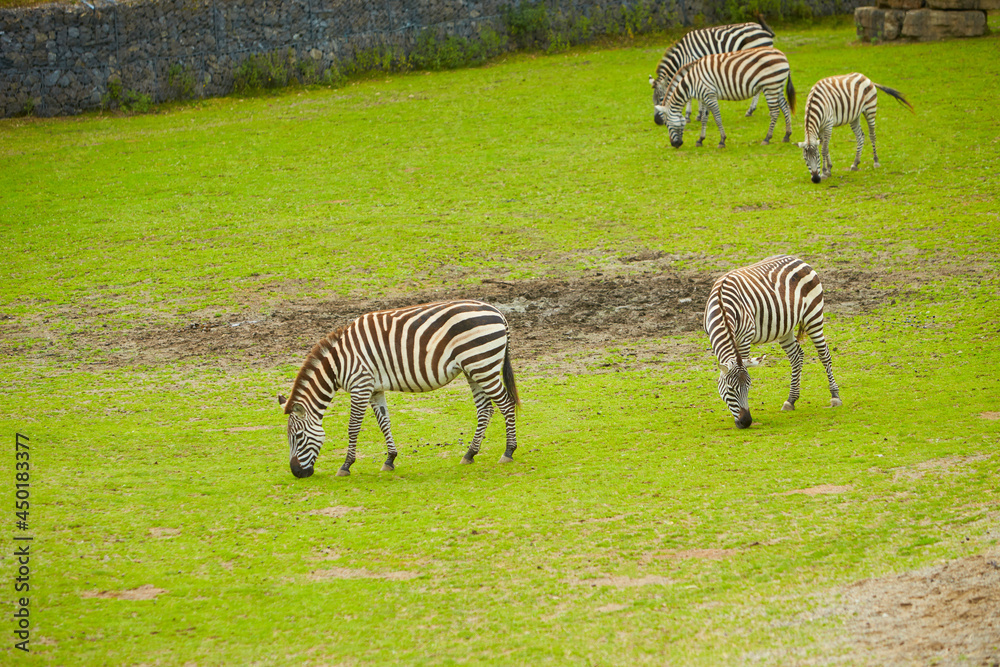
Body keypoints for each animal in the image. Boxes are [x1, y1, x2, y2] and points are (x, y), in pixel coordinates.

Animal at [277, 300, 520, 478]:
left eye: (298, 436)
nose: (297, 473)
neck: (339, 363)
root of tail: (498, 312)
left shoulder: (360, 386)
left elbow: (353, 427)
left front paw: (345, 465)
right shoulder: (374, 389)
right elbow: (384, 422)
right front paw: (390, 459)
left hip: (483, 366)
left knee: (507, 404)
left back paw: (508, 451)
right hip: (474, 370)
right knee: (485, 409)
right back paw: (470, 453)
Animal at [654, 47, 795, 149]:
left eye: (667, 124)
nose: (675, 145)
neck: (691, 81)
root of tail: (782, 55)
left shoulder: (710, 96)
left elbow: (717, 118)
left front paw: (722, 140)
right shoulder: (704, 98)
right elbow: (704, 118)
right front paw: (700, 140)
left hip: (770, 86)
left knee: (775, 112)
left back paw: (767, 138)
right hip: (777, 86)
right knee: (785, 106)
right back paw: (787, 135)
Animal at [704, 255, 842, 429]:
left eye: (748, 387)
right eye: (729, 389)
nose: (746, 422)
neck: (722, 304)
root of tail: (798, 259)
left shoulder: (745, 337)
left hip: (813, 315)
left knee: (824, 354)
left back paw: (835, 396)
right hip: (784, 326)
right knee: (796, 356)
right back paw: (791, 401)